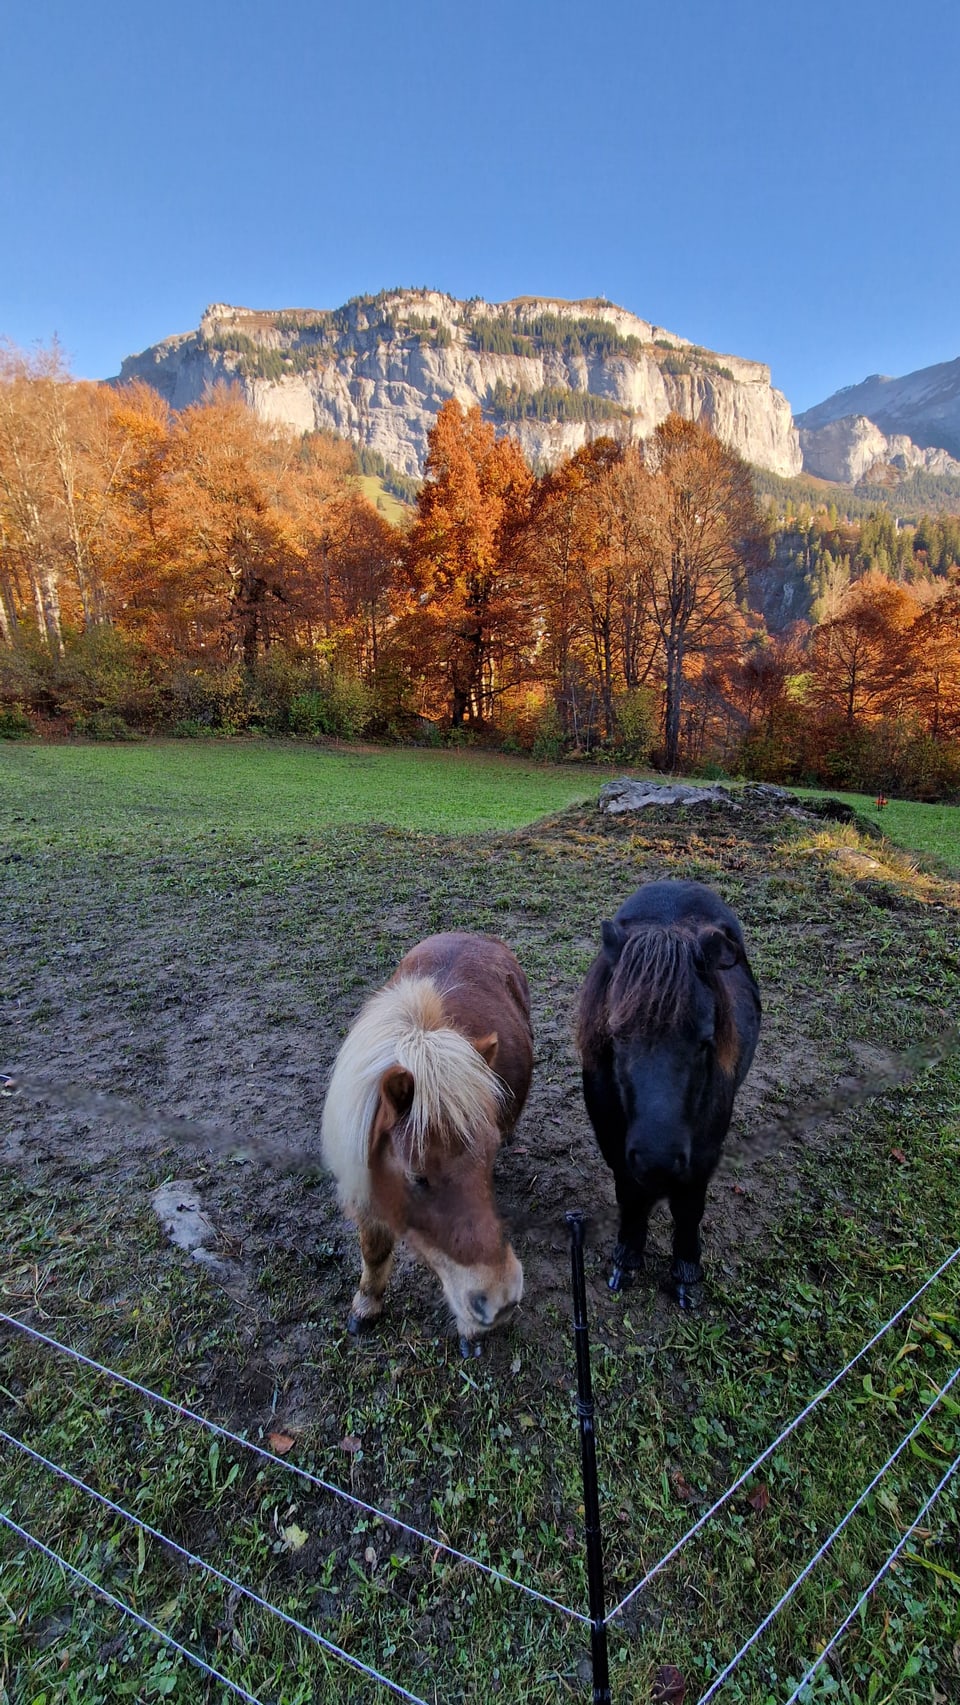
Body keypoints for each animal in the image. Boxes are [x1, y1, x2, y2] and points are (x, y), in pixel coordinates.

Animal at [579, 879, 760, 1302]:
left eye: (706, 1040)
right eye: (615, 1036)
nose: (657, 1160)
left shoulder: (702, 1155)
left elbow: (689, 1207)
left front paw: (686, 1272)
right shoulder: (616, 1146)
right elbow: (631, 1196)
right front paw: (627, 1258)